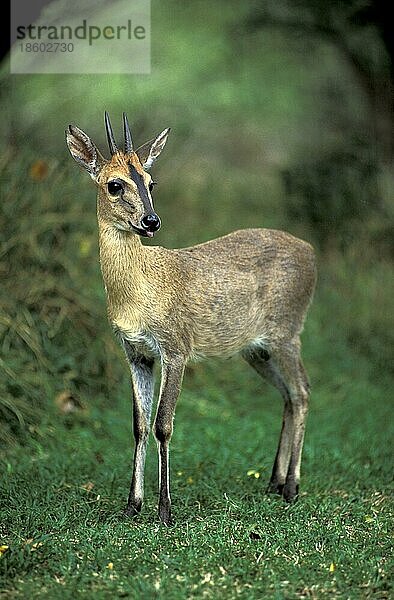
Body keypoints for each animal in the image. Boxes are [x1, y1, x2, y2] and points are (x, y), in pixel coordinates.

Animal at [65, 112, 318, 524]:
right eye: (114, 184)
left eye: (151, 181)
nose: (151, 221)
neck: (138, 291)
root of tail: (311, 252)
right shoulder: (136, 353)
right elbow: (138, 425)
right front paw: (131, 505)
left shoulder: (176, 348)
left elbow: (163, 424)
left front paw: (164, 510)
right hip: (256, 350)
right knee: (288, 395)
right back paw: (273, 482)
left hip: (287, 333)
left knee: (303, 390)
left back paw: (293, 488)